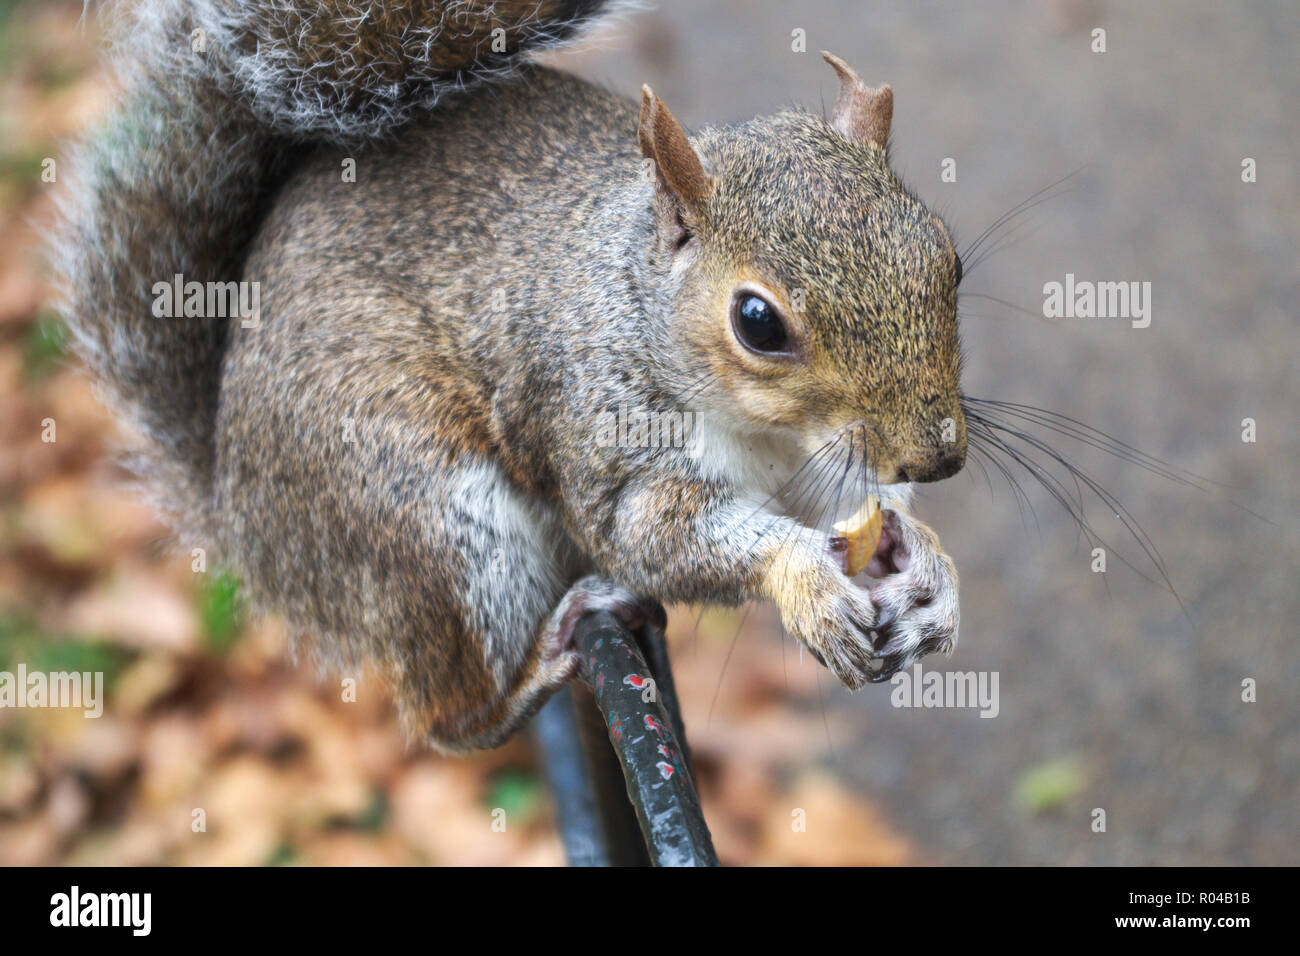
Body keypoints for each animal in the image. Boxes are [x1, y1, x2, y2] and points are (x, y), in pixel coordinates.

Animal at [53, 0, 966, 752]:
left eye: (947, 258)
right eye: (758, 322)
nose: (938, 459)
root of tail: (245, 527)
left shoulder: (816, 464)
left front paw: (925, 568)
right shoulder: (605, 433)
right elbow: (652, 540)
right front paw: (804, 578)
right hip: (423, 517)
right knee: (449, 720)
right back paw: (542, 660)